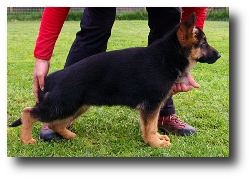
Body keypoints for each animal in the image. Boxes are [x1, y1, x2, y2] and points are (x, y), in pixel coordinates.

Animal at [8, 13, 220, 148]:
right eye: (203, 43)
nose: (219, 55)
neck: (166, 56)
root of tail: (51, 78)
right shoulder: (150, 104)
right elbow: (150, 127)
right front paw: (155, 143)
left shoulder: (153, 105)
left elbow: (150, 126)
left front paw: (157, 139)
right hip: (63, 103)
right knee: (29, 113)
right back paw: (27, 140)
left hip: (77, 105)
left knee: (55, 124)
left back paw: (69, 135)